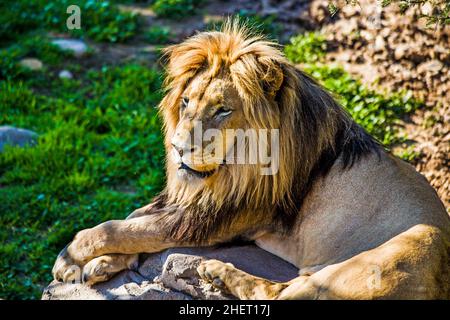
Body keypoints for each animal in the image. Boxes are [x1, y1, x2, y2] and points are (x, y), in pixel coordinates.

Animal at [53, 22, 450, 300]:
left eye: (223, 110)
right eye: (186, 102)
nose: (178, 148)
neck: (234, 168)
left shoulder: (226, 215)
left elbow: (124, 228)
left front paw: (69, 258)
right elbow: (136, 220)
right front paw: (102, 264)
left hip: (357, 272)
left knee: (277, 292)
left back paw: (216, 271)